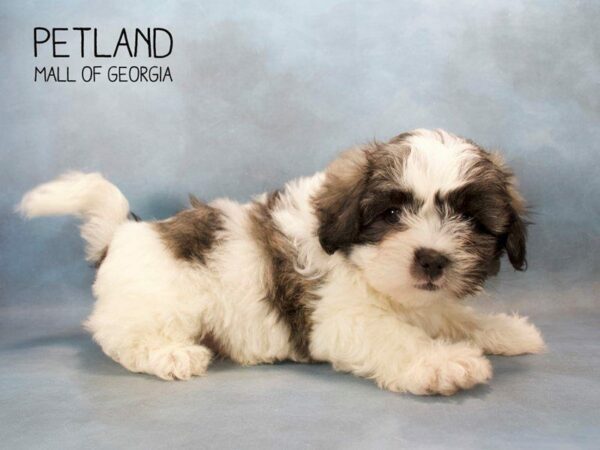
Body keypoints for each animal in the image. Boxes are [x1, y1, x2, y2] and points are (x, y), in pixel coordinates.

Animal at [18, 129, 544, 394]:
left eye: (470, 219)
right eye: (392, 214)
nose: (432, 259)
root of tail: (122, 233)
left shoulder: (427, 302)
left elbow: (454, 315)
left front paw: (503, 330)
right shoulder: (340, 317)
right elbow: (396, 337)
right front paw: (443, 363)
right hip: (156, 305)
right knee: (122, 338)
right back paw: (171, 354)